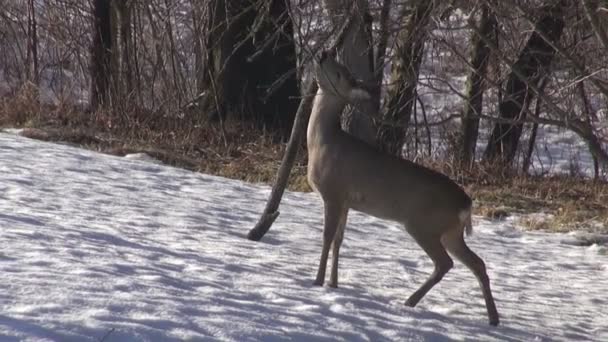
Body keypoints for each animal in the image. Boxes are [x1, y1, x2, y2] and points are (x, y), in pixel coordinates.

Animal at [306, 51, 502, 326]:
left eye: (339, 73)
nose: (323, 54)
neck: (321, 142)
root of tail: (467, 203)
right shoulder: (346, 202)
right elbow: (338, 240)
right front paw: (333, 284)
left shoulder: (333, 193)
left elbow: (326, 237)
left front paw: (317, 282)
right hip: (451, 232)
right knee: (478, 263)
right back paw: (493, 319)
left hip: (423, 224)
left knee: (445, 263)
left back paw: (410, 301)